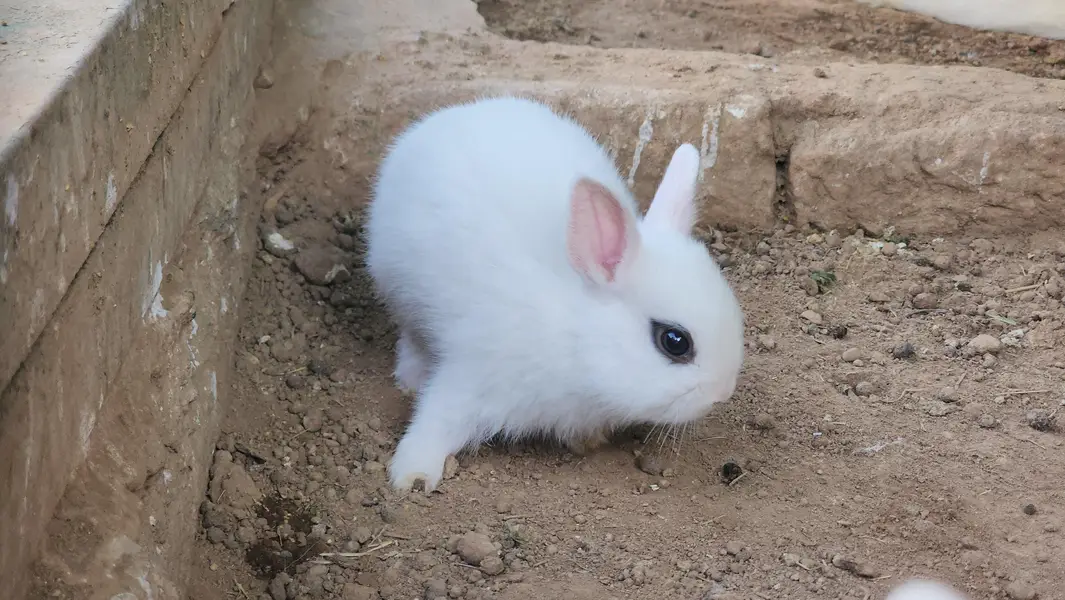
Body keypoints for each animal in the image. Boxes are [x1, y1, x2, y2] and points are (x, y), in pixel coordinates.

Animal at [365, 96, 745, 492]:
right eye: (674, 341)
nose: (723, 393)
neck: (576, 335)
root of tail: (455, 113)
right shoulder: (476, 375)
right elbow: (438, 420)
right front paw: (413, 476)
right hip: (399, 293)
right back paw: (410, 380)